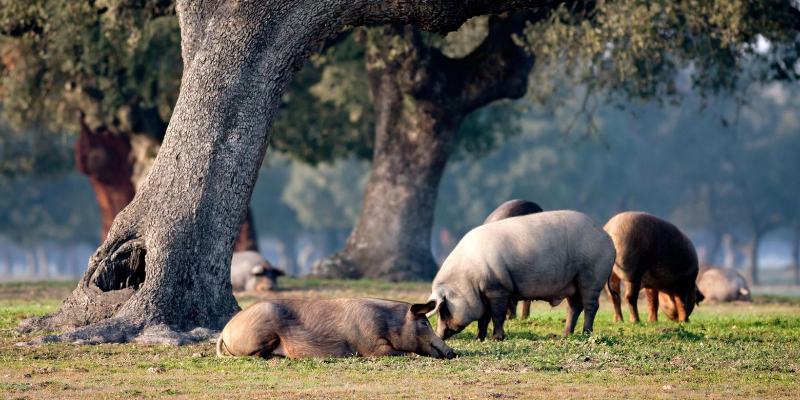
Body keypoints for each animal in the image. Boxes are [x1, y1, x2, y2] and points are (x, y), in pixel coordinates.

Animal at [214, 296, 456, 360]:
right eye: (424, 323)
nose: (452, 352)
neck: (389, 323)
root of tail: (226, 329)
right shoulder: (370, 345)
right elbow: (398, 352)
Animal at [428, 209, 616, 340]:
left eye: (443, 310)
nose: (438, 335)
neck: (468, 278)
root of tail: (608, 238)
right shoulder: (484, 294)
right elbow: (483, 318)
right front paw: (477, 339)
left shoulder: (498, 288)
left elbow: (497, 315)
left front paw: (496, 339)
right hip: (573, 282)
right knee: (574, 307)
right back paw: (566, 335)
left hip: (591, 275)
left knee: (591, 306)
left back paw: (586, 334)